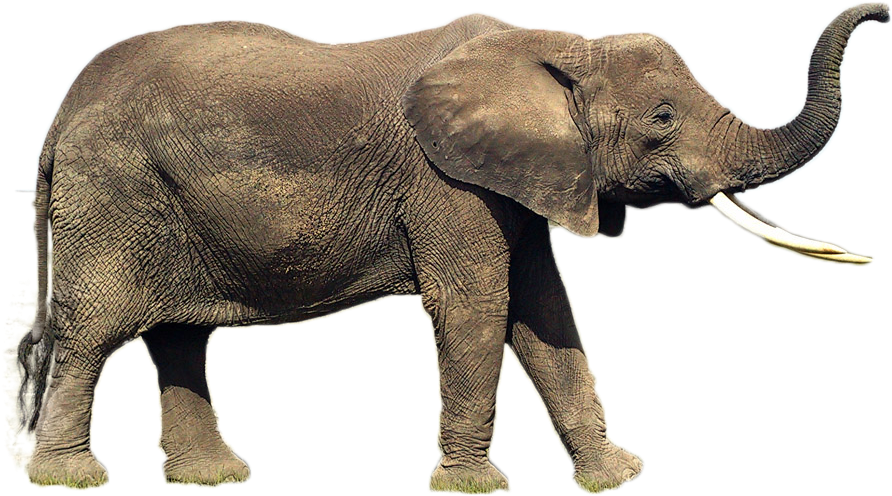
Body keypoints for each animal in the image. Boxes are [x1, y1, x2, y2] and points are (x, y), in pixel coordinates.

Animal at [14, 2, 886, 493]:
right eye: (664, 118)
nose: (882, 12)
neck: (554, 49)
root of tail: (60, 115)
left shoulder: (527, 176)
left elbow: (545, 310)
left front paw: (615, 480)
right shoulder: (445, 181)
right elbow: (476, 308)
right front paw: (474, 489)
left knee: (179, 337)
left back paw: (212, 480)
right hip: (113, 194)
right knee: (94, 332)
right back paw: (70, 480)